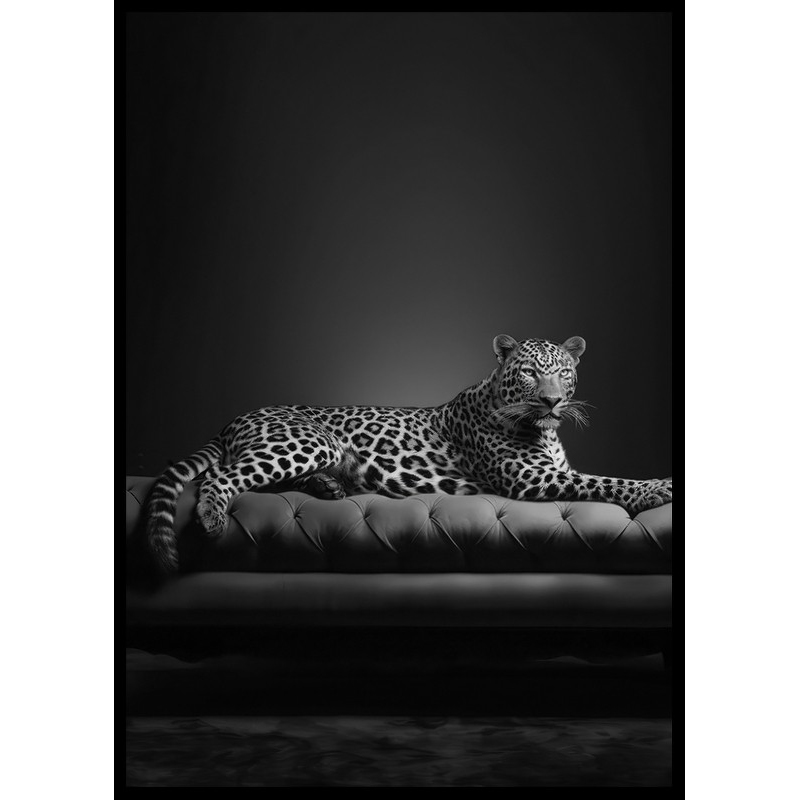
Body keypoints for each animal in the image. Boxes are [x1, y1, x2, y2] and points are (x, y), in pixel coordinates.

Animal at [145, 334, 672, 574]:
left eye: (563, 372)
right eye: (529, 373)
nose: (551, 401)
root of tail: (234, 418)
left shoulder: (554, 469)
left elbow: (599, 476)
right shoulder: (532, 478)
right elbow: (606, 481)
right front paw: (659, 487)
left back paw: (329, 487)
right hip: (308, 441)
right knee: (220, 477)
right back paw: (212, 517)